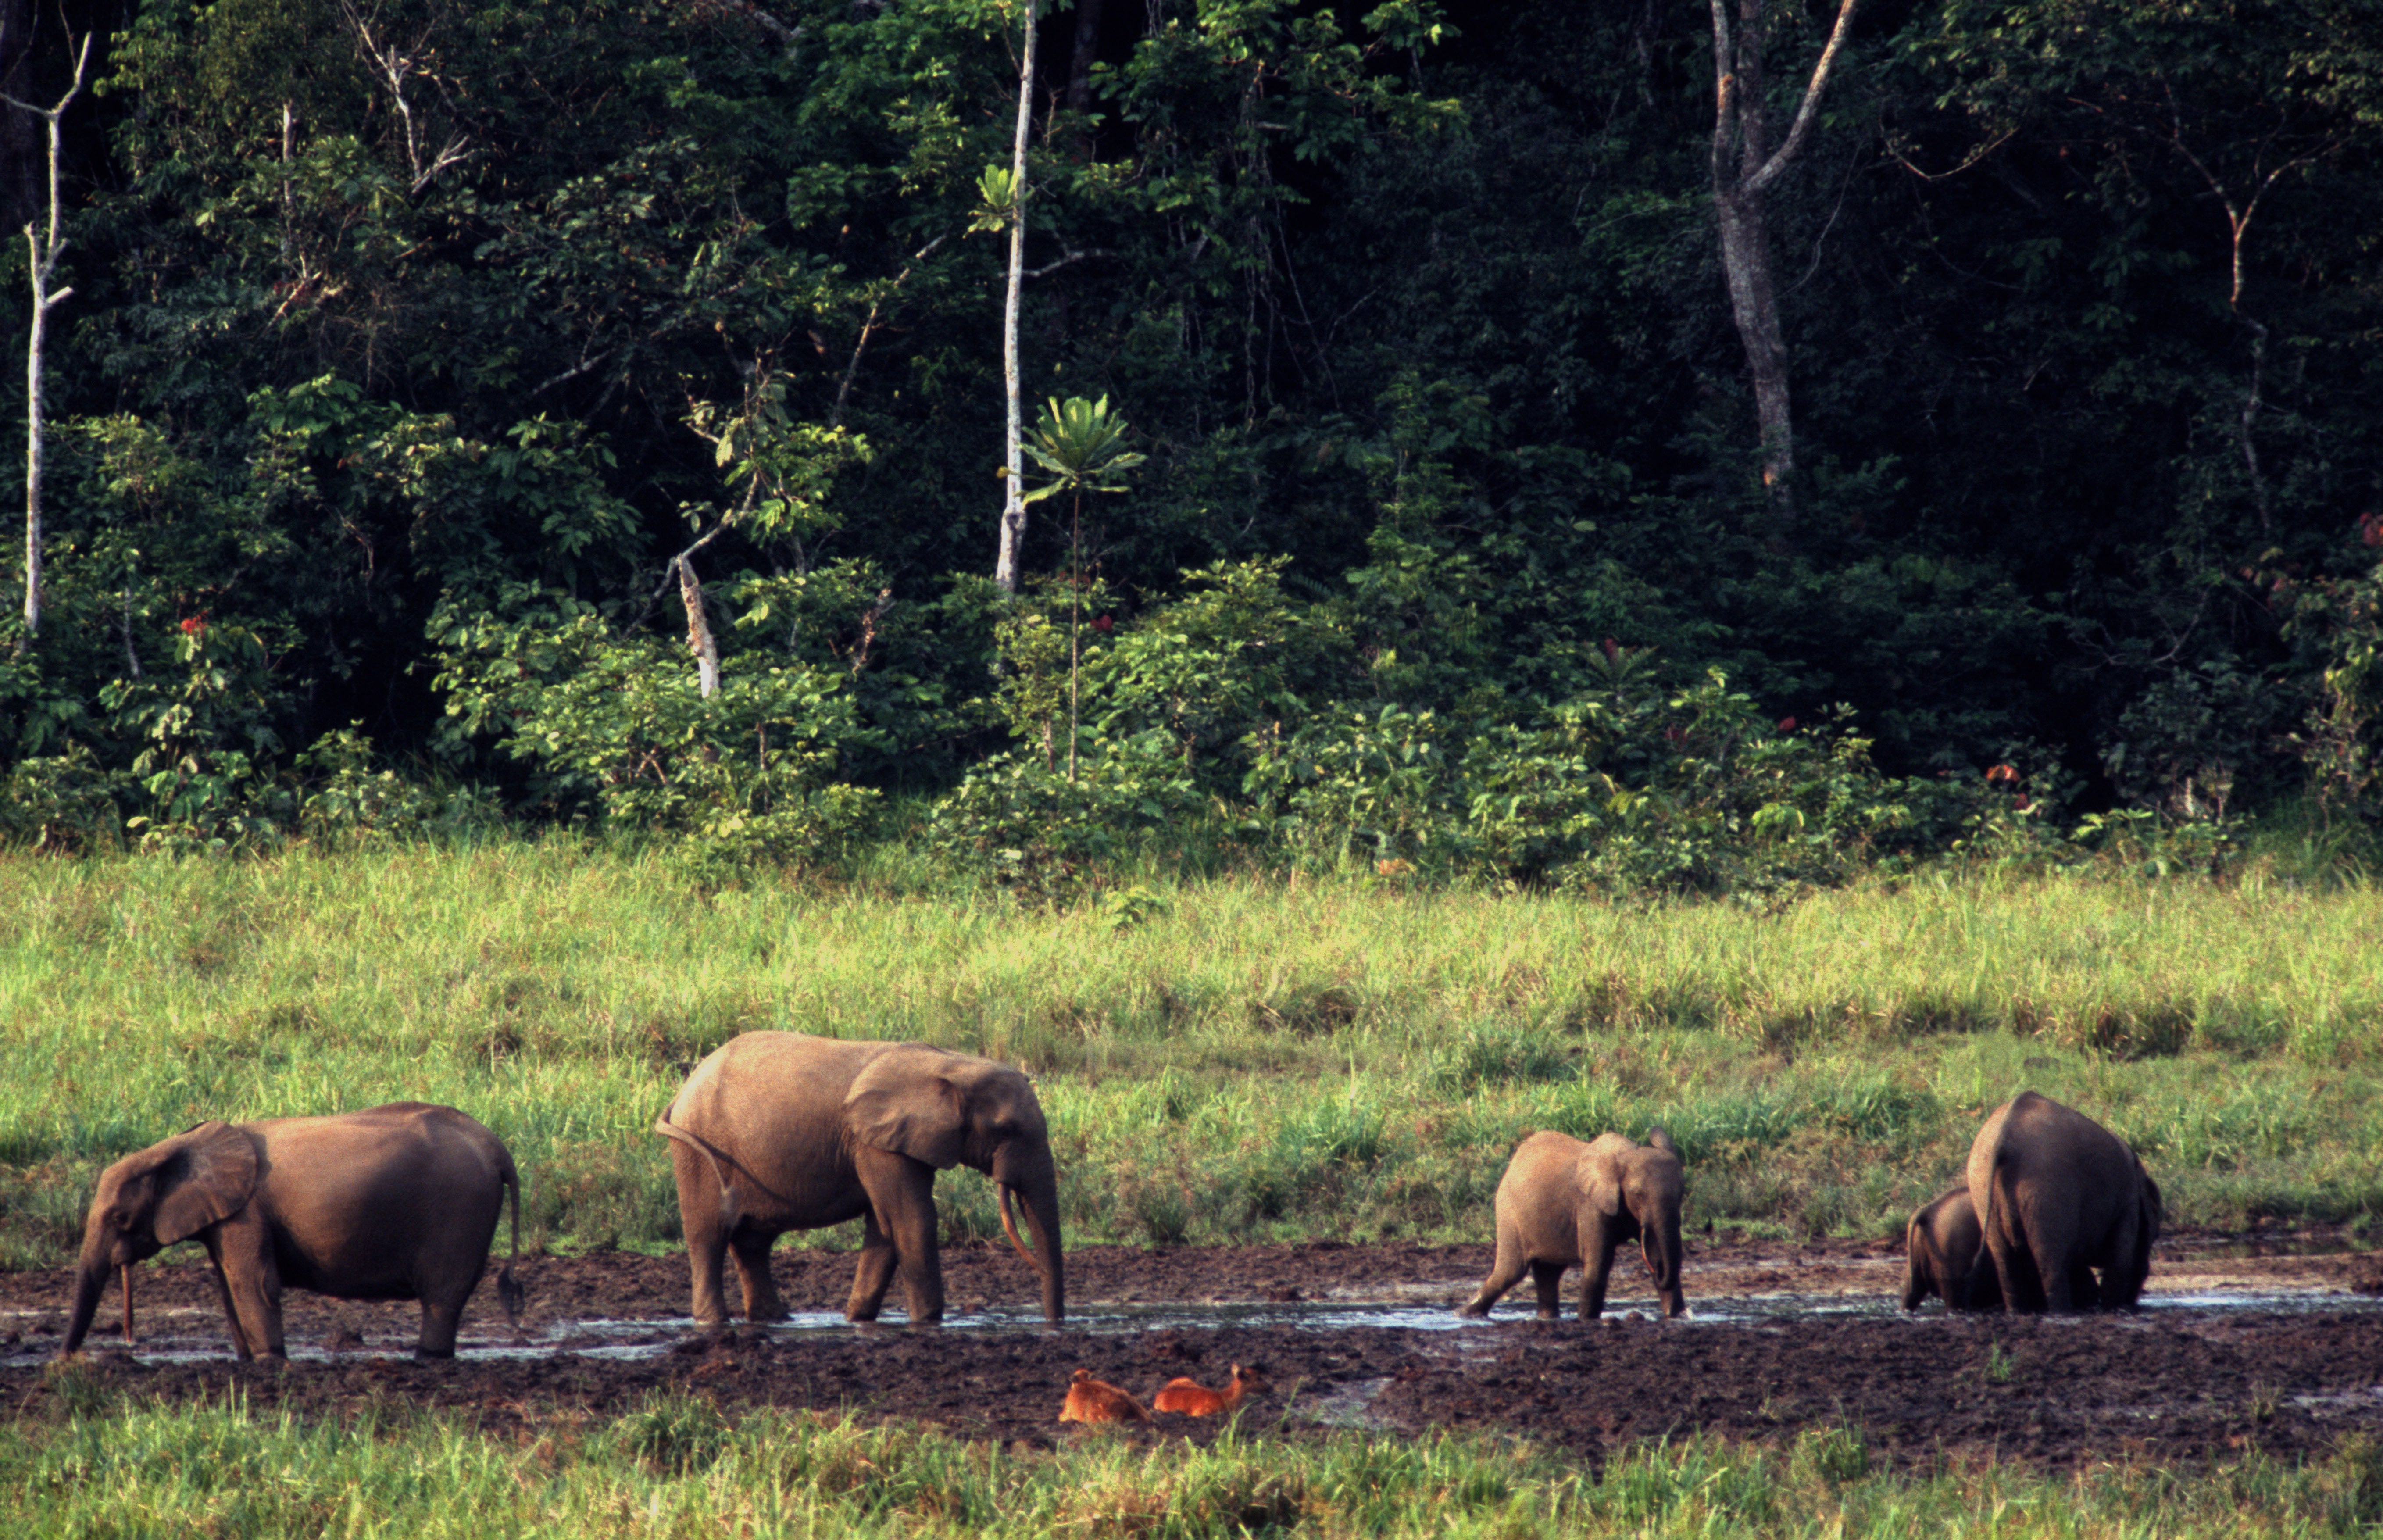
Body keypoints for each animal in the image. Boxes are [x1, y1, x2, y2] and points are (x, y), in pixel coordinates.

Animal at [59, 1106, 522, 1373]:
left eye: (120, 1217)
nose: (66, 1361)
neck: (180, 1144)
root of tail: (496, 1146)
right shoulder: (228, 1216)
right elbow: (229, 1286)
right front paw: (247, 1361)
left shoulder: (246, 1211)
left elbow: (254, 1282)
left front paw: (271, 1363)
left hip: (460, 1209)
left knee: (444, 1293)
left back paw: (429, 1359)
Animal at [653, 1029, 1063, 1335]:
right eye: (1006, 1129)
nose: (1054, 1325)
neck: (951, 1064)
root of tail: (684, 1089)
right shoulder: (876, 1143)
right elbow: (911, 1221)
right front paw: (928, 1322)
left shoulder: (896, 1140)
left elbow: (884, 1227)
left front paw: (857, 1319)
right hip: (698, 1152)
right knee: (708, 1236)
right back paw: (714, 1323)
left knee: (753, 1242)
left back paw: (776, 1320)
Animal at [1449, 1130, 1697, 1325]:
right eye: (1639, 1194)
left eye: (1682, 1192)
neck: (1624, 1158)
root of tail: (1512, 1165)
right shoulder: (1590, 1205)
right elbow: (1600, 1261)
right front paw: (1587, 1320)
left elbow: (1657, 1253)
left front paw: (1677, 1318)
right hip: (1509, 1212)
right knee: (1510, 1272)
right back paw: (1462, 1315)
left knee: (1548, 1274)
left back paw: (1546, 1318)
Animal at [1954, 1092, 2164, 1325]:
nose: (2134, 1303)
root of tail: (2004, 1136)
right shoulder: (2128, 1202)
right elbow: (2120, 1255)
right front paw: (2113, 1309)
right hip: (2048, 1185)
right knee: (2051, 1263)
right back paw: (2062, 1314)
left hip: (1982, 1184)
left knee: (2005, 1261)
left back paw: (2018, 1313)